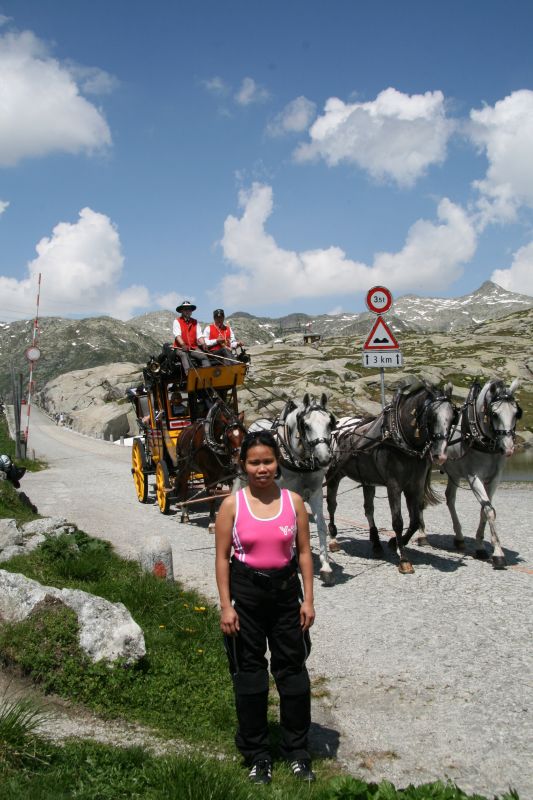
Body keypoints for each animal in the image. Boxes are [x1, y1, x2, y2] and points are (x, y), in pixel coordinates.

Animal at [174, 398, 244, 532]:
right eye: (228, 436)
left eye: (244, 434)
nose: (238, 460)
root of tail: (182, 432)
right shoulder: (208, 475)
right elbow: (211, 495)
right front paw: (212, 523)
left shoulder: (230, 474)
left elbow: (231, 493)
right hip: (184, 467)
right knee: (184, 487)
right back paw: (184, 513)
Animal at [248, 396, 336, 588]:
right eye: (306, 425)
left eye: (330, 423)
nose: (324, 459)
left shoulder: (316, 493)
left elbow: (320, 525)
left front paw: (326, 567)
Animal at [416, 376, 520, 568]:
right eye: (494, 414)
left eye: (516, 413)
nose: (508, 448)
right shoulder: (473, 477)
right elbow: (489, 511)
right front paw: (498, 554)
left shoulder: (494, 479)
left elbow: (485, 510)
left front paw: (480, 547)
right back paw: (422, 535)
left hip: (454, 473)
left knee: (450, 498)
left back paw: (459, 538)